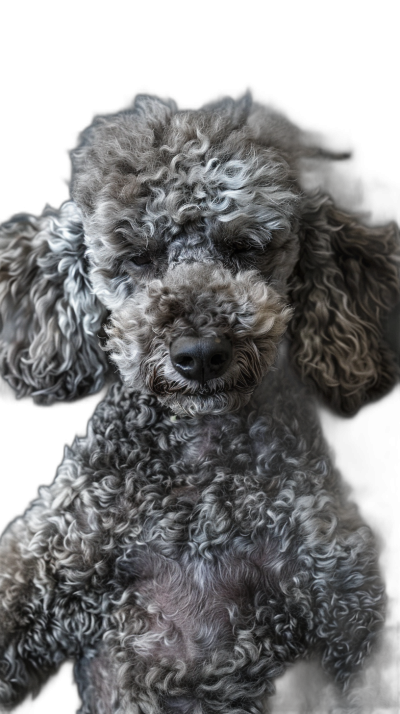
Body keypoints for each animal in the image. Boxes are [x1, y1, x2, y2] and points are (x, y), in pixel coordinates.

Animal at [0, 96, 400, 712]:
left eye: (245, 248)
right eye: (137, 257)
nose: (201, 352)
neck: (200, 473)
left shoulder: (351, 623)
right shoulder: (47, 562)